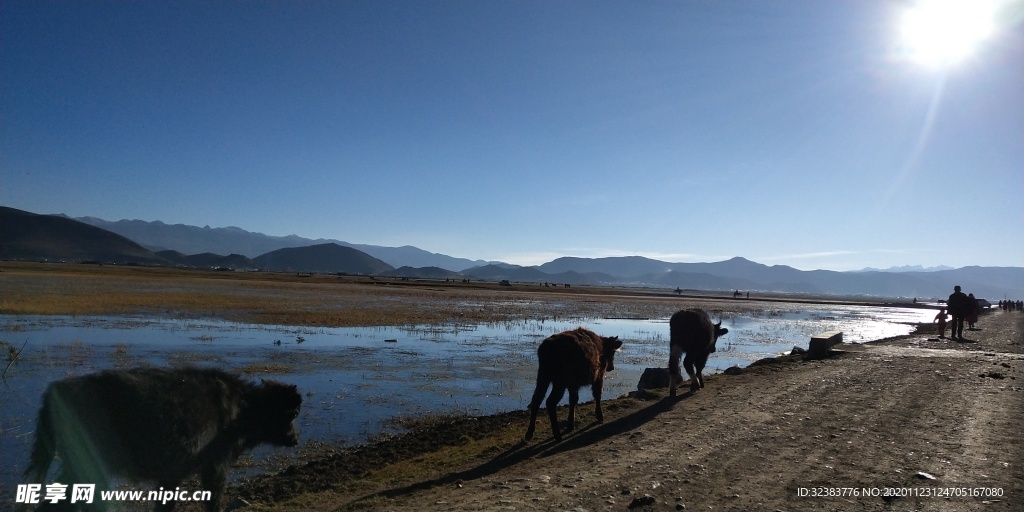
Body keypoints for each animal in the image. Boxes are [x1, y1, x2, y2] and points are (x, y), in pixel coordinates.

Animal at [25, 366, 301, 509]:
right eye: (292, 413)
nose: (295, 439)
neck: (243, 407)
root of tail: (55, 391)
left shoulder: (172, 474)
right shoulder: (215, 465)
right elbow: (213, 496)